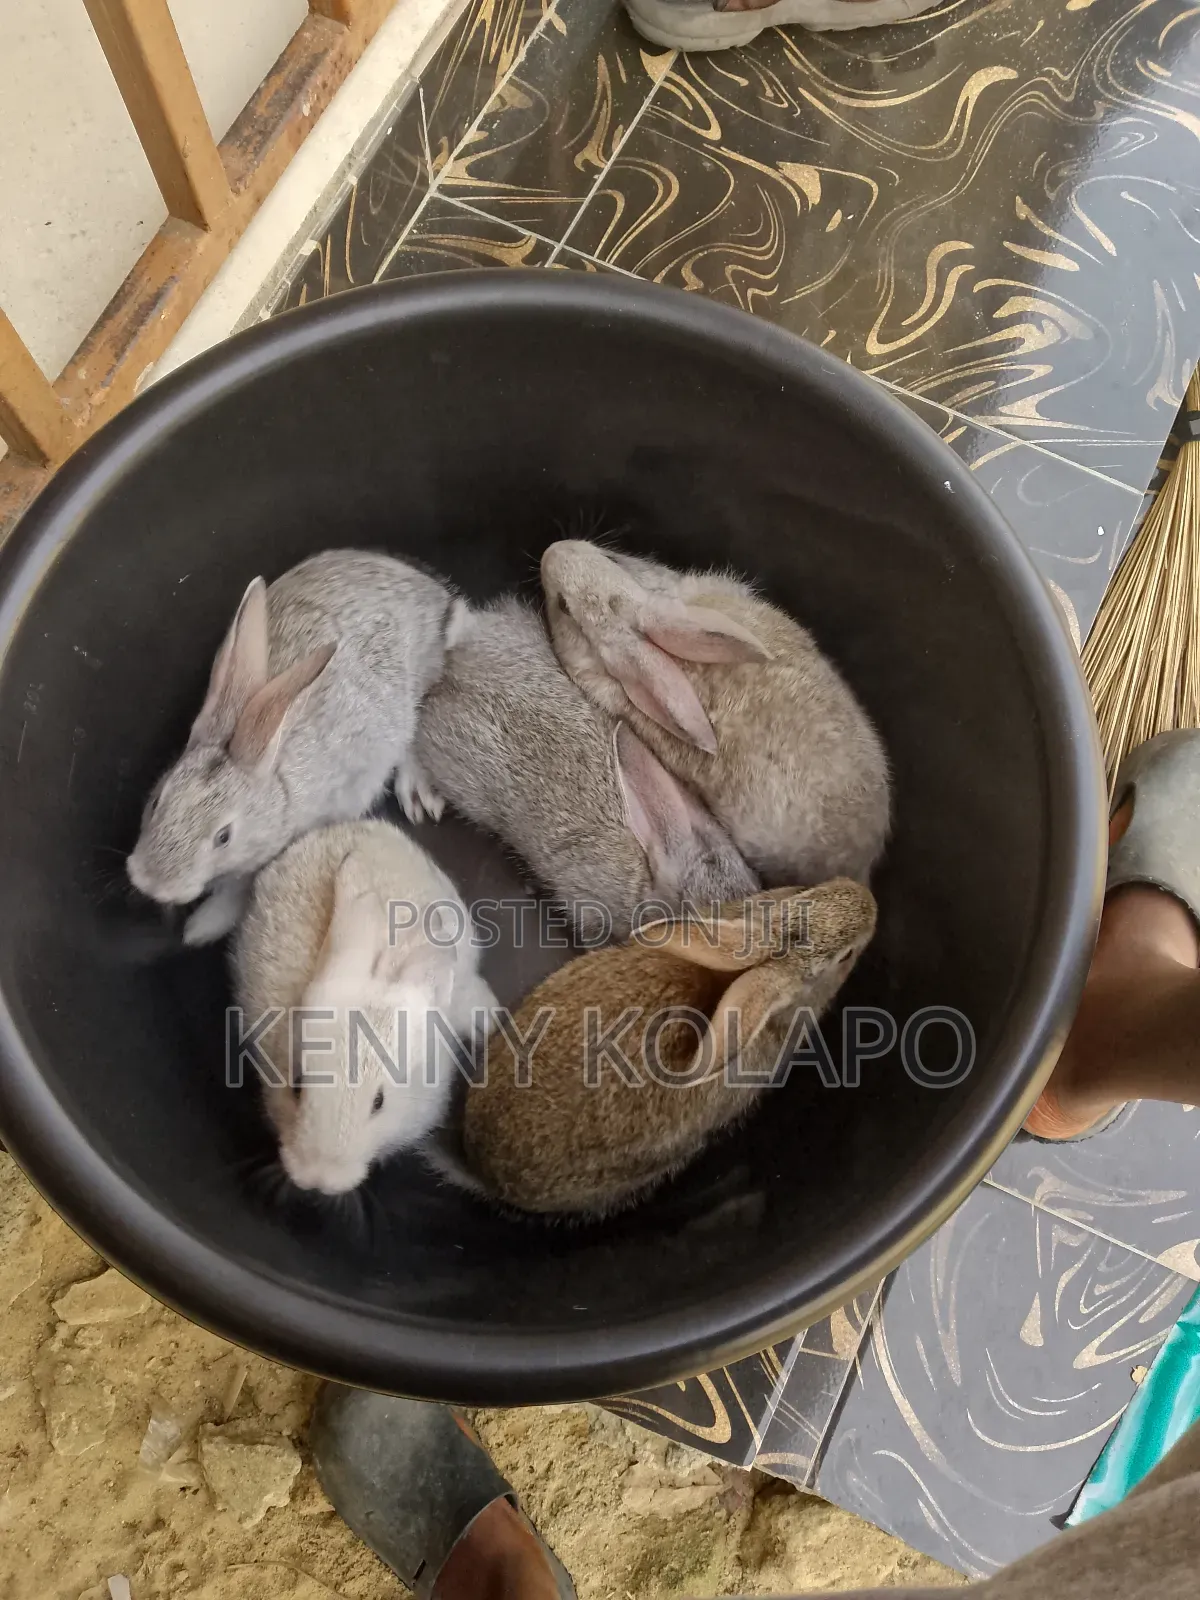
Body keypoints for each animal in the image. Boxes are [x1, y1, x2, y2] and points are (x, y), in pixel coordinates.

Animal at [127, 550, 461, 946]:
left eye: (223, 837)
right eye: (156, 801)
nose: (150, 882)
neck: (275, 788)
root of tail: (431, 592)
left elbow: (240, 892)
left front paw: (200, 927)